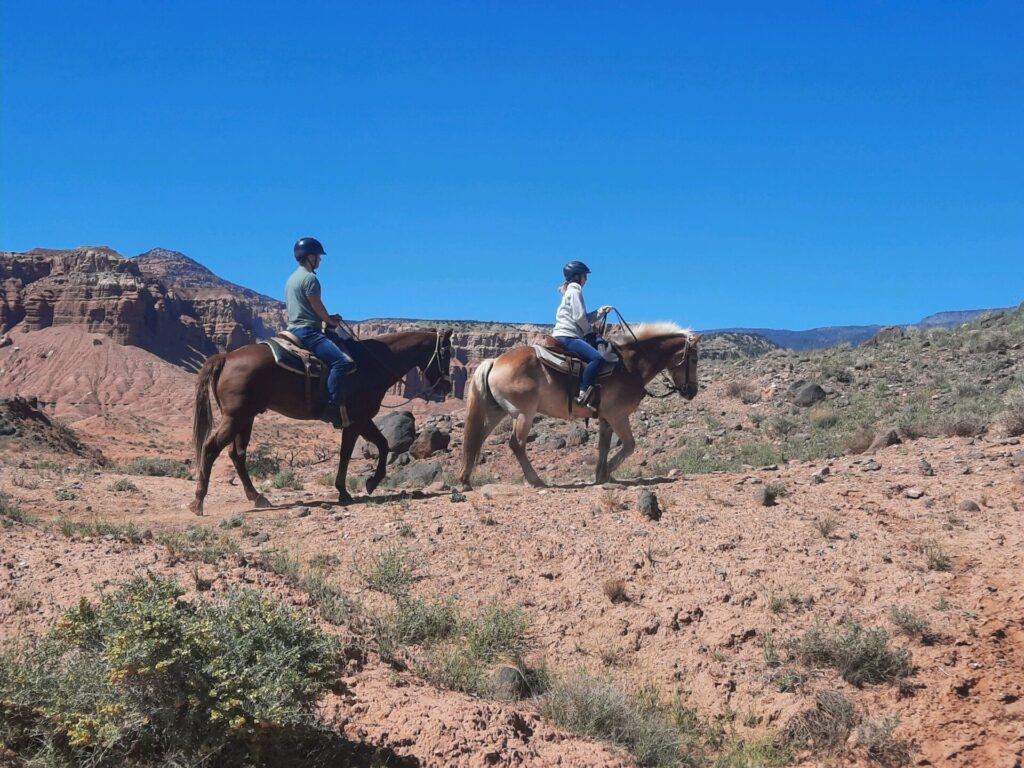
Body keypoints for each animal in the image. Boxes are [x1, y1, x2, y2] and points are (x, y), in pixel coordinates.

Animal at [189, 327, 452, 514]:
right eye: (446, 353)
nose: (447, 387)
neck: (372, 363)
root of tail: (226, 356)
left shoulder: (360, 420)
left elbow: (381, 445)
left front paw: (369, 483)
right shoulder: (357, 420)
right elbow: (351, 452)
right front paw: (349, 490)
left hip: (246, 418)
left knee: (237, 454)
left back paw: (258, 497)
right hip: (236, 417)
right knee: (211, 448)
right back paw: (198, 502)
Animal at [460, 323, 700, 489]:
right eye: (694, 359)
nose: (692, 391)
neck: (632, 365)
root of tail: (495, 361)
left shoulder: (605, 418)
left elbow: (604, 447)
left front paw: (601, 475)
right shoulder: (618, 415)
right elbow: (630, 445)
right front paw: (608, 472)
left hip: (496, 412)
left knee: (476, 439)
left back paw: (465, 480)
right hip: (523, 414)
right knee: (516, 444)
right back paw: (535, 480)